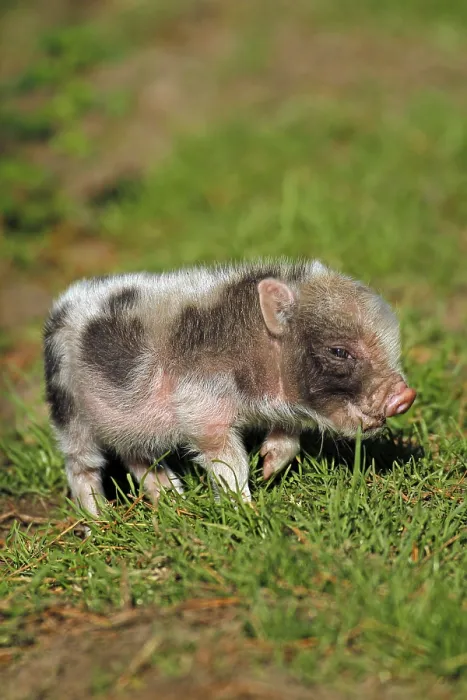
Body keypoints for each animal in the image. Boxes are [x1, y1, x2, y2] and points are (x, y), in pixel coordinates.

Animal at [43, 259, 416, 517]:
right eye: (339, 351)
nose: (406, 396)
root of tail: (61, 306)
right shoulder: (202, 410)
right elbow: (230, 462)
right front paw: (248, 511)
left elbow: (289, 438)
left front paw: (268, 470)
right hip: (68, 409)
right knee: (82, 466)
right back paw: (101, 520)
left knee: (137, 456)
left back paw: (174, 501)